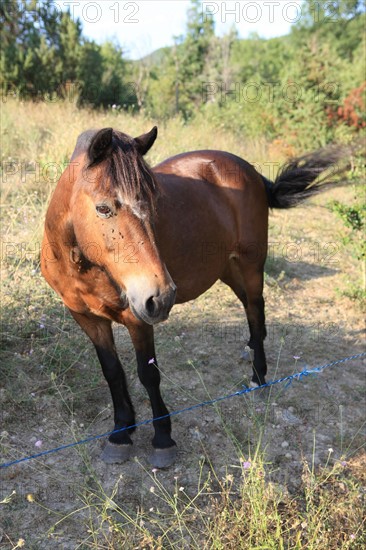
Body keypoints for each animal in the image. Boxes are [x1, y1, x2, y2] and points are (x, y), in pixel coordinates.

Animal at [41, 127, 348, 468]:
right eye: (103, 208)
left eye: (153, 205)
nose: (161, 296)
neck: (83, 265)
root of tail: (251, 171)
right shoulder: (88, 319)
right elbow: (112, 373)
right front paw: (121, 431)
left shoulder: (138, 318)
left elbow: (148, 374)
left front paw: (162, 437)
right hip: (225, 267)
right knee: (249, 306)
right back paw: (250, 350)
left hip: (250, 264)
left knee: (255, 309)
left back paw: (258, 377)